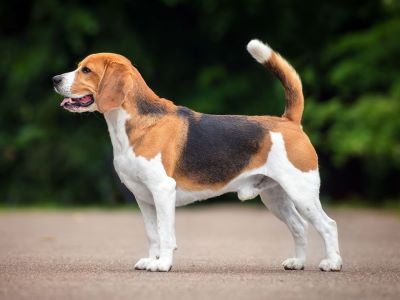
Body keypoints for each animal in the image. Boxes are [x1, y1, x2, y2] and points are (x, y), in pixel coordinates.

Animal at [51, 39, 342, 272]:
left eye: (86, 70)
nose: (54, 80)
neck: (133, 123)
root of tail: (289, 121)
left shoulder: (162, 190)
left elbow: (166, 234)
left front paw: (163, 264)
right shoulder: (143, 197)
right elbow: (152, 234)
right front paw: (151, 260)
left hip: (301, 192)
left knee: (328, 225)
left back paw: (333, 263)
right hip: (276, 196)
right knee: (299, 227)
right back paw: (298, 262)